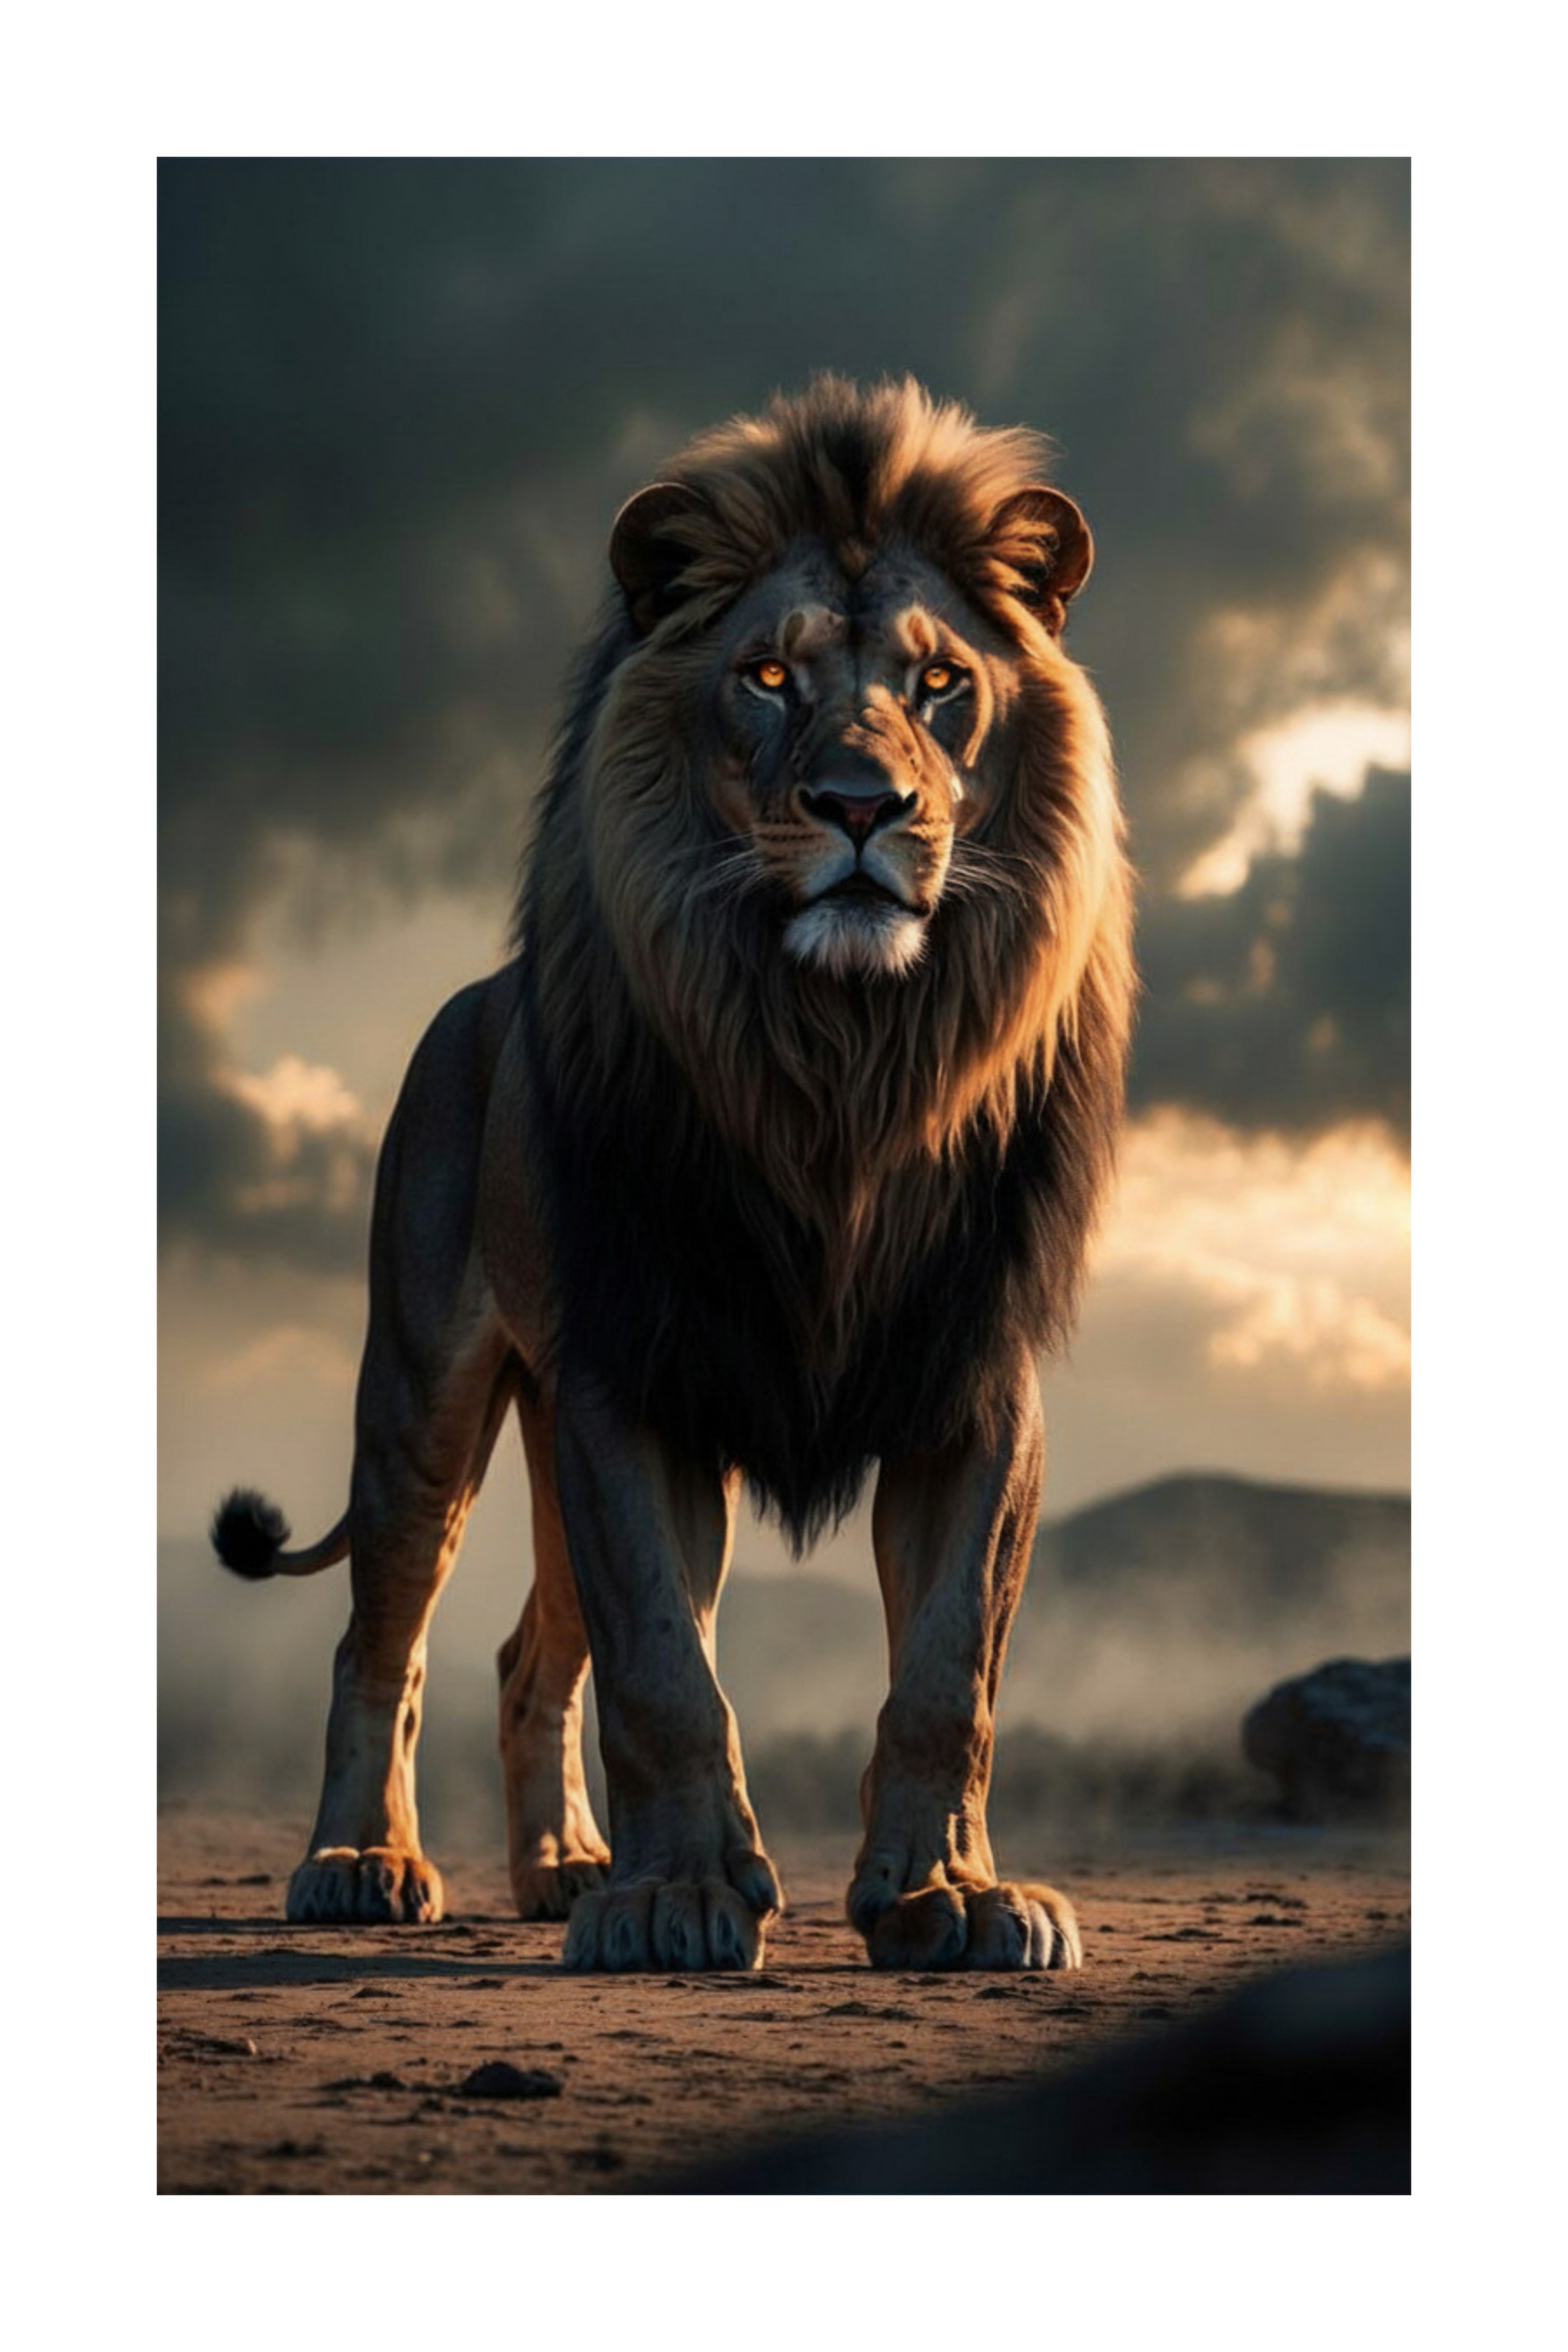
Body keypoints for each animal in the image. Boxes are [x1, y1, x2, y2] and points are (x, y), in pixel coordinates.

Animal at [214, 376, 1135, 1973]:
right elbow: (663, 1661)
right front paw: (678, 1898)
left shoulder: (973, 1370)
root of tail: (471, 1001)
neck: (840, 1061)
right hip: (424, 1395)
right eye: (767, 676)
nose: (860, 805)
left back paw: (561, 1864)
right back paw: (360, 1860)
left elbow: (948, 1665)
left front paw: (950, 1892)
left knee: (528, 1650)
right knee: (379, 1638)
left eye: (940, 681)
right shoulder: (629, 1367)